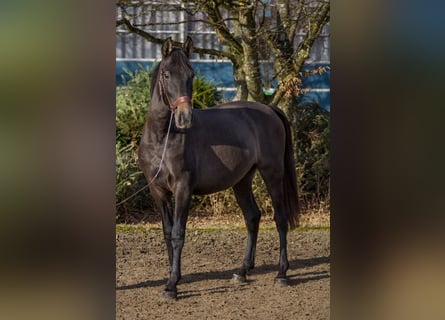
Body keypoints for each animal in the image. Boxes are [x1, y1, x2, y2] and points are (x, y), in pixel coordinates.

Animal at [139, 37, 298, 300]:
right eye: (166, 74)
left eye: (191, 74)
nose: (185, 118)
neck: (163, 138)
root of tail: (269, 110)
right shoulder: (158, 191)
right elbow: (167, 232)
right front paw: (173, 278)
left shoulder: (183, 189)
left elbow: (178, 234)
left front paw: (172, 285)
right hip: (242, 180)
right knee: (252, 217)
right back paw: (242, 272)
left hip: (272, 173)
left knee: (280, 218)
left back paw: (282, 274)